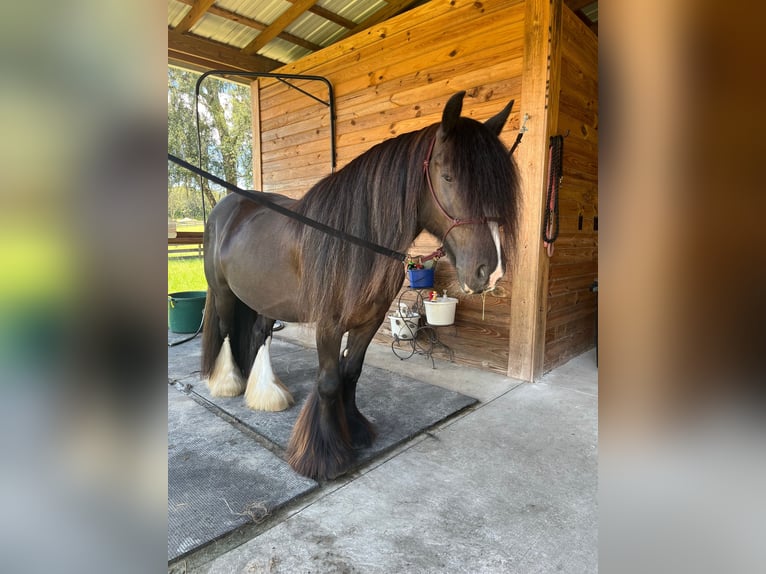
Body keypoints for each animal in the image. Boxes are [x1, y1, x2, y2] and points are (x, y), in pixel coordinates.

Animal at [201, 92, 520, 482]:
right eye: (448, 176)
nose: (490, 272)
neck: (351, 240)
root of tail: (226, 207)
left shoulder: (370, 320)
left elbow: (351, 374)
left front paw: (354, 431)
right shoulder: (329, 323)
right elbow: (328, 381)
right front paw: (325, 456)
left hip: (263, 297)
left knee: (260, 333)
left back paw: (264, 391)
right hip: (224, 294)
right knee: (225, 331)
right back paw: (229, 383)